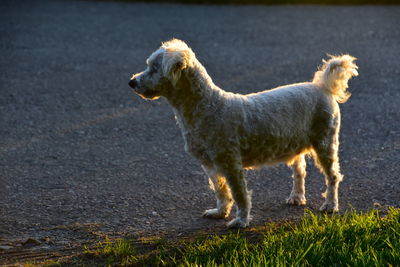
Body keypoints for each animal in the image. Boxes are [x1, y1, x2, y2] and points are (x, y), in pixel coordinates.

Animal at [130, 39, 358, 228]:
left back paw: (330, 204)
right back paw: (296, 197)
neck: (207, 106)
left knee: (333, 176)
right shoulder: (211, 166)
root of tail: (322, 87)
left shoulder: (231, 163)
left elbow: (240, 194)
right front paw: (220, 212)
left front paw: (241, 221)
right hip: (295, 144)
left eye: (154, 68)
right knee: (300, 171)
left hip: (325, 143)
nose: (131, 82)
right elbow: (221, 192)